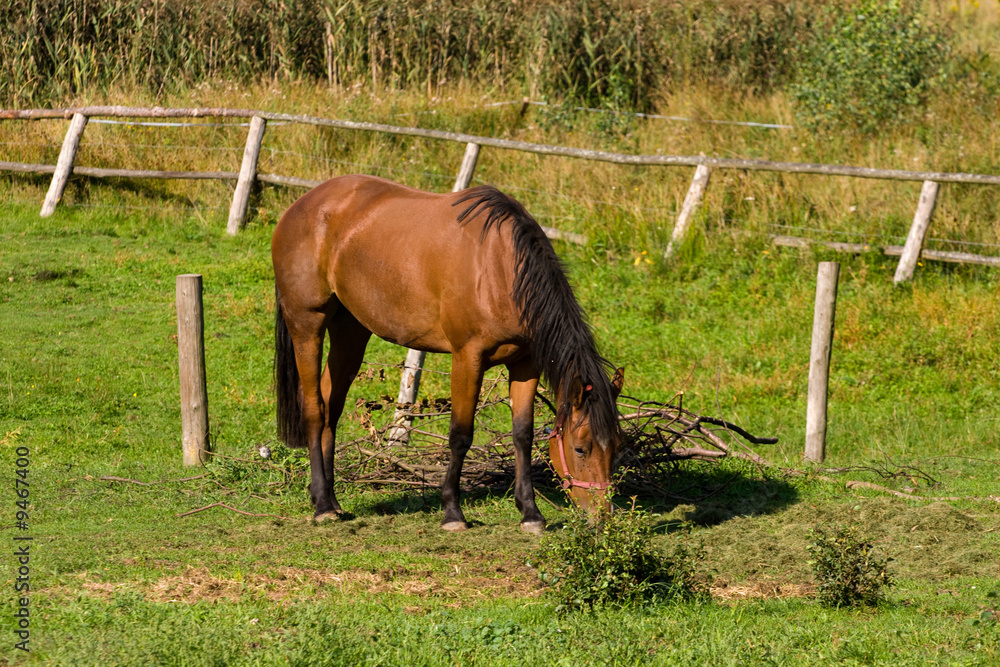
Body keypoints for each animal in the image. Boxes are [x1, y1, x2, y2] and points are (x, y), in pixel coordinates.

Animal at [271, 174, 623, 533]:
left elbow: (522, 434)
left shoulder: (526, 363)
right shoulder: (468, 358)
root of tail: (300, 206)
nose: (603, 516)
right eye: (580, 449)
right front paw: (453, 511)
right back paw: (323, 505)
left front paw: (530, 513)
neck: (500, 267)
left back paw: (329, 497)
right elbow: (460, 435)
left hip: (350, 331)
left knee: (331, 405)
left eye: (615, 447)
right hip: (307, 325)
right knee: (314, 408)